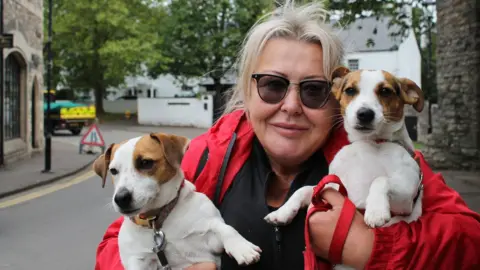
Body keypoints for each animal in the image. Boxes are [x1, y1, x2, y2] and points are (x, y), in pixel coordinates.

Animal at [92, 133, 260, 270]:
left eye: (146, 162)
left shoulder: (210, 240)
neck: (158, 219)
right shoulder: (138, 260)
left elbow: (226, 229)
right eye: (113, 171)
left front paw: (242, 247)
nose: (121, 199)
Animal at [264, 67, 426, 268]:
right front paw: (282, 212)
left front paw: (376, 210)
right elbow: (304, 189)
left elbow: (381, 180)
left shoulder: (407, 198)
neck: (371, 144)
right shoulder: (332, 187)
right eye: (350, 90)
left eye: (385, 91)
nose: (365, 113)